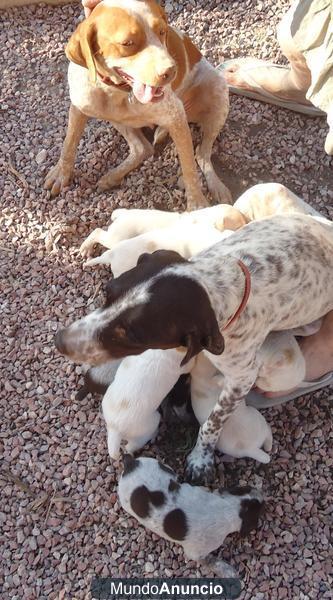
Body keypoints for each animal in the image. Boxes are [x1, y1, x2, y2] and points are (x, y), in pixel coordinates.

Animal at [44, 0, 230, 210]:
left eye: (162, 31)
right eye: (127, 43)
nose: (171, 71)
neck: (118, 91)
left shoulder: (176, 117)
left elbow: (189, 167)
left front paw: (197, 204)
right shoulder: (79, 107)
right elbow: (69, 144)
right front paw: (61, 173)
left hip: (218, 95)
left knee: (201, 154)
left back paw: (217, 187)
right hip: (115, 118)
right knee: (142, 149)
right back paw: (112, 177)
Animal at [54, 213, 332, 486]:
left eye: (132, 335)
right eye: (107, 292)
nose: (59, 341)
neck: (226, 284)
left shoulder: (242, 378)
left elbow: (212, 423)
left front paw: (201, 459)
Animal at [118, 458, 264, 580]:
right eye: (259, 511)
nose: (262, 495)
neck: (225, 508)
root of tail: (129, 462)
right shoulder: (197, 552)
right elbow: (212, 562)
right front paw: (228, 571)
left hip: (161, 466)